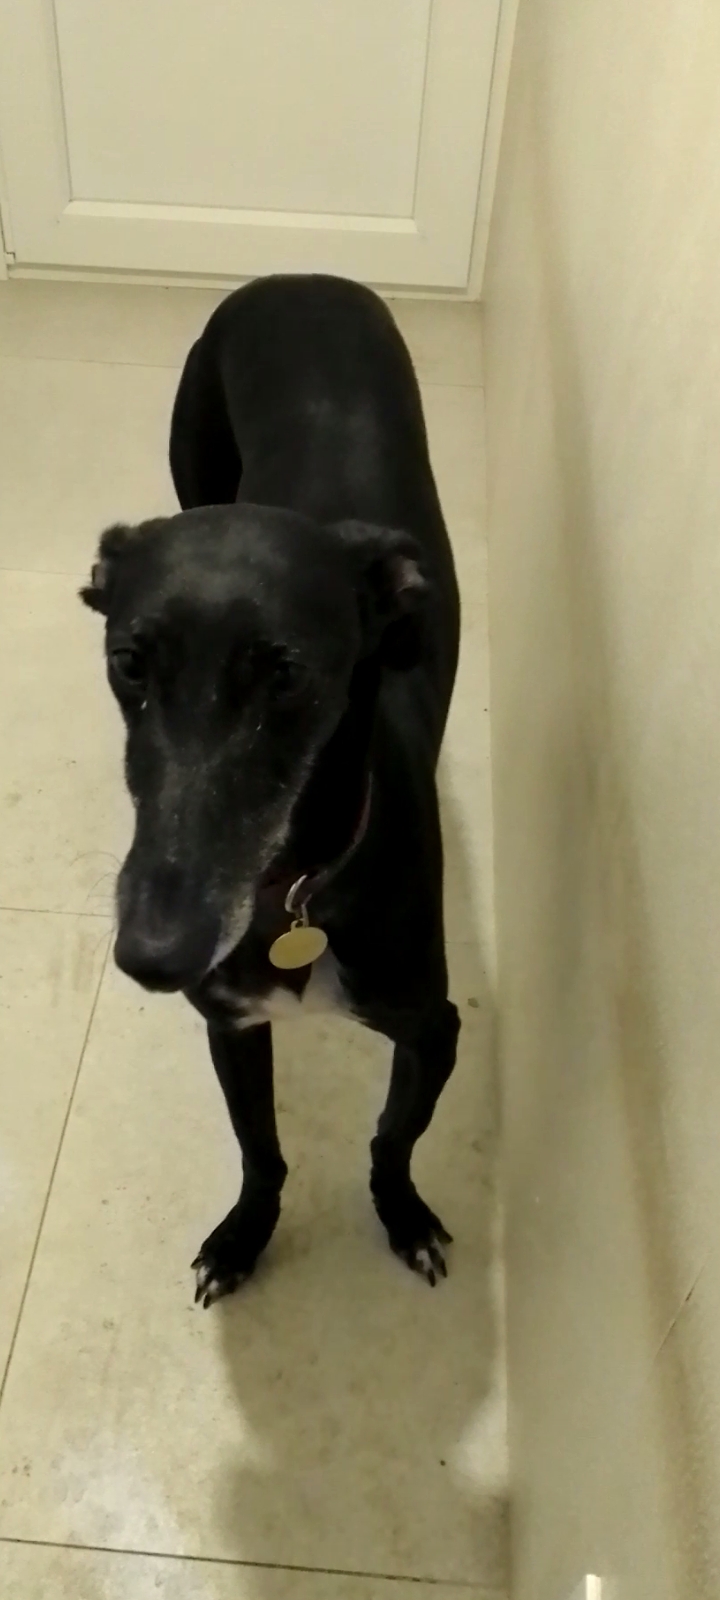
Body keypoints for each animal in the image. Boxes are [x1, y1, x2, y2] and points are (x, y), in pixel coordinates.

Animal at [81, 274, 461, 1305]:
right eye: (128, 663)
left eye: (286, 677)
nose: (155, 956)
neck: (295, 890)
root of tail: (299, 277)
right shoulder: (233, 1026)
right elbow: (263, 1152)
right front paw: (243, 1238)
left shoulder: (435, 1028)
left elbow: (392, 1138)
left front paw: (404, 1218)